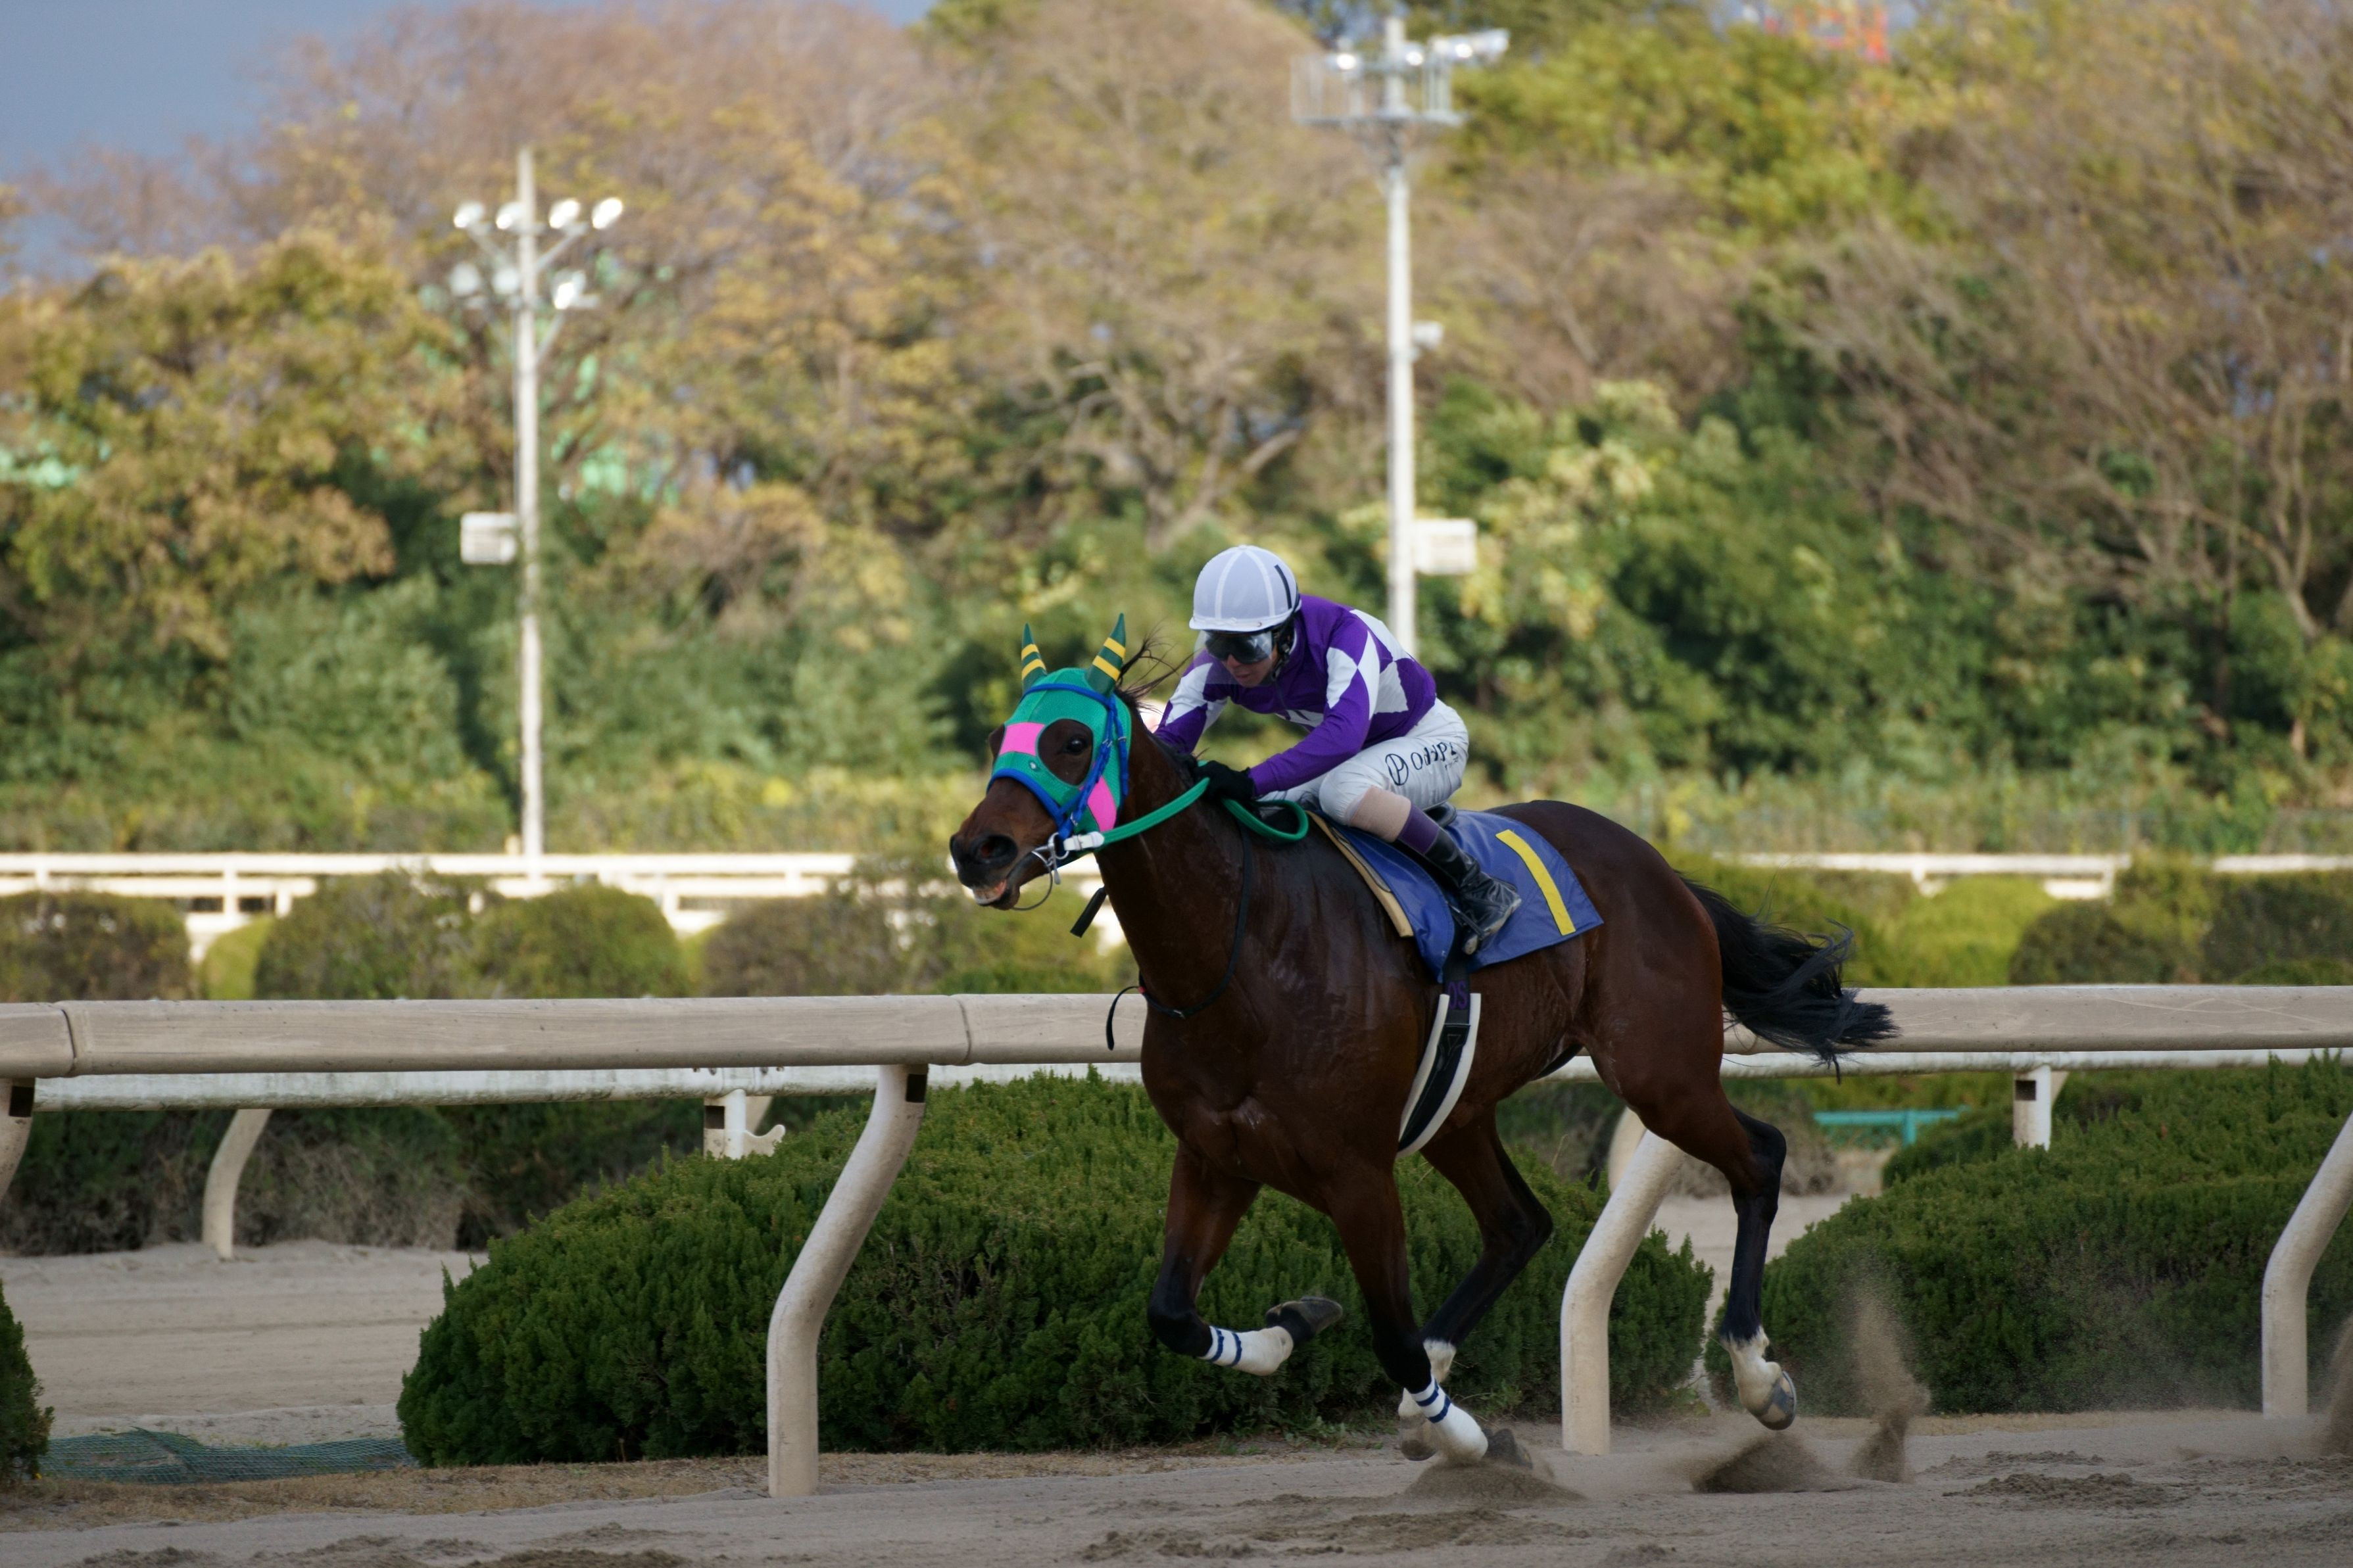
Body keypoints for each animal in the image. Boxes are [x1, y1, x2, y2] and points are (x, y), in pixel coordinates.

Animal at [948, 622, 1895, 1464]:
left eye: (1072, 741)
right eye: (1001, 738)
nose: (975, 848)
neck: (1243, 952)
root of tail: (1661, 870)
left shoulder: (1357, 1171)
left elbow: (1390, 1335)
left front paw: (1468, 1438)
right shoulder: (1216, 1154)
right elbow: (1171, 1313)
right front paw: (1294, 1327)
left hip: (1658, 1070)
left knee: (1758, 1158)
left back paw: (1757, 1375)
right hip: (1459, 1107)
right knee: (1518, 1224)